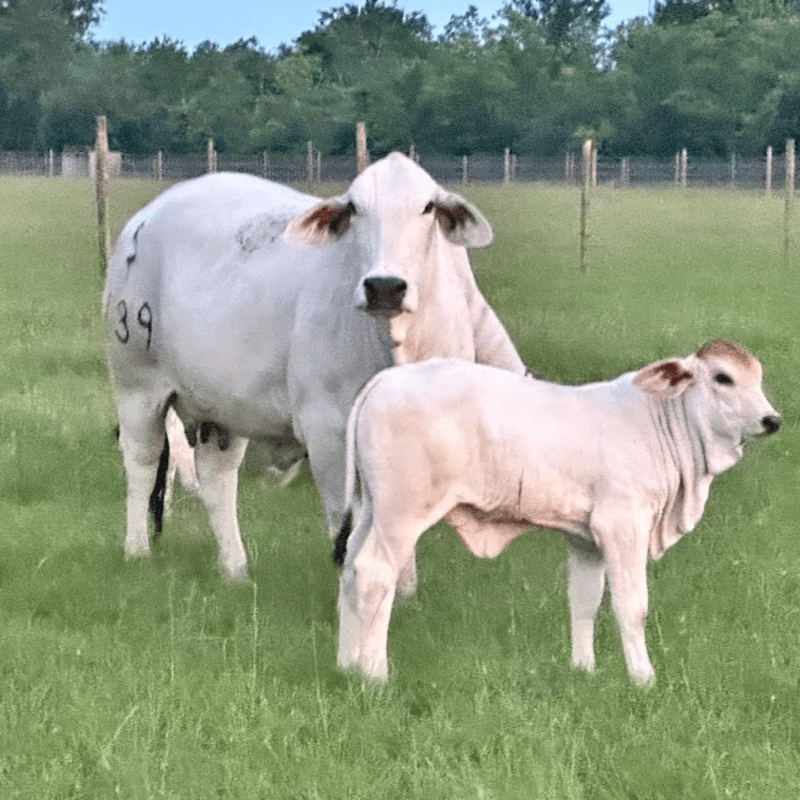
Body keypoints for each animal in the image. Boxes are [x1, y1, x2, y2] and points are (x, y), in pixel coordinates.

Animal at [103, 153, 526, 580]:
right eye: (354, 208)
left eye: (427, 207)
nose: (385, 286)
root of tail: (149, 214)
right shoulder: (329, 433)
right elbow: (347, 524)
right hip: (136, 384)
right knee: (141, 462)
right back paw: (137, 551)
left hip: (222, 407)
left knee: (216, 476)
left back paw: (236, 570)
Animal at [333, 341, 780, 685]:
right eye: (723, 378)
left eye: (758, 377)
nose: (771, 420)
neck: (660, 420)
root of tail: (387, 380)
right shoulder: (623, 526)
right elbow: (631, 605)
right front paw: (643, 678)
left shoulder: (586, 540)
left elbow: (584, 601)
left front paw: (584, 669)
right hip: (402, 513)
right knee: (374, 574)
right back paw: (375, 676)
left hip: (371, 509)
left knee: (350, 570)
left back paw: (347, 665)